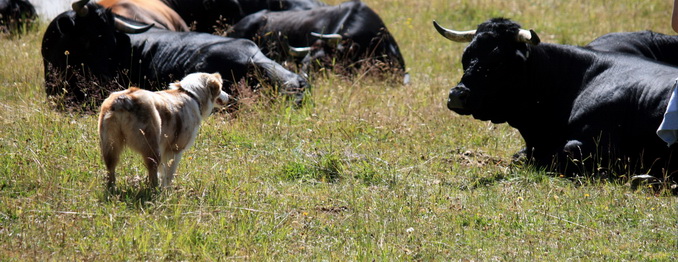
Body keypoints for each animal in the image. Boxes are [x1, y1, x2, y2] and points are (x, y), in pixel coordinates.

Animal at [98, 72, 230, 189]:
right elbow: (169, 174)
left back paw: (112, 189)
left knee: (111, 169)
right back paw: (155, 191)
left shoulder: (164, 147)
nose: (228, 96)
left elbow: (163, 171)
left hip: (110, 145)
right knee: (152, 169)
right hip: (151, 146)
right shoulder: (175, 149)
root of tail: (123, 100)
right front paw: (167, 191)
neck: (190, 94)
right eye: (221, 88)